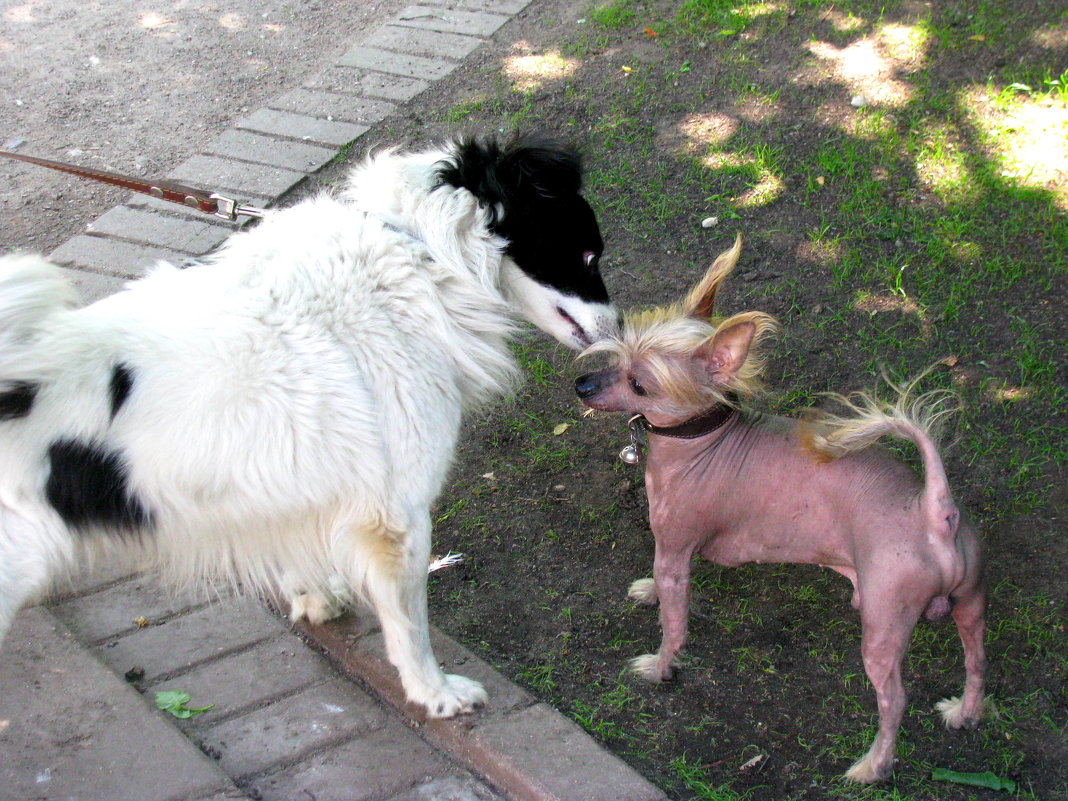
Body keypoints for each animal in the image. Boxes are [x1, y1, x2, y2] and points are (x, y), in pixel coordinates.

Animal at [0, 135, 619, 717]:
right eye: (588, 255)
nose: (617, 332)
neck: (420, 252)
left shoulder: (288, 489)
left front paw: (317, 600)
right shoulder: (398, 517)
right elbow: (409, 628)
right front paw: (435, 694)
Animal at [576, 233, 982, 786]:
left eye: (640, 385)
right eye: (615, 358)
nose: (582, 386)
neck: (702, 440)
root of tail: (932, 509)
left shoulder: (676, 551)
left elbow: (674, 623)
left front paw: (661, 668)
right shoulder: (672, 552)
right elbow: (659, 584)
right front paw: (648, 591)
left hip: (885, 623)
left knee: (894, 701)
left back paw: (872, 766)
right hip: (971, 602)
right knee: (977, 664)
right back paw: (965, 712)